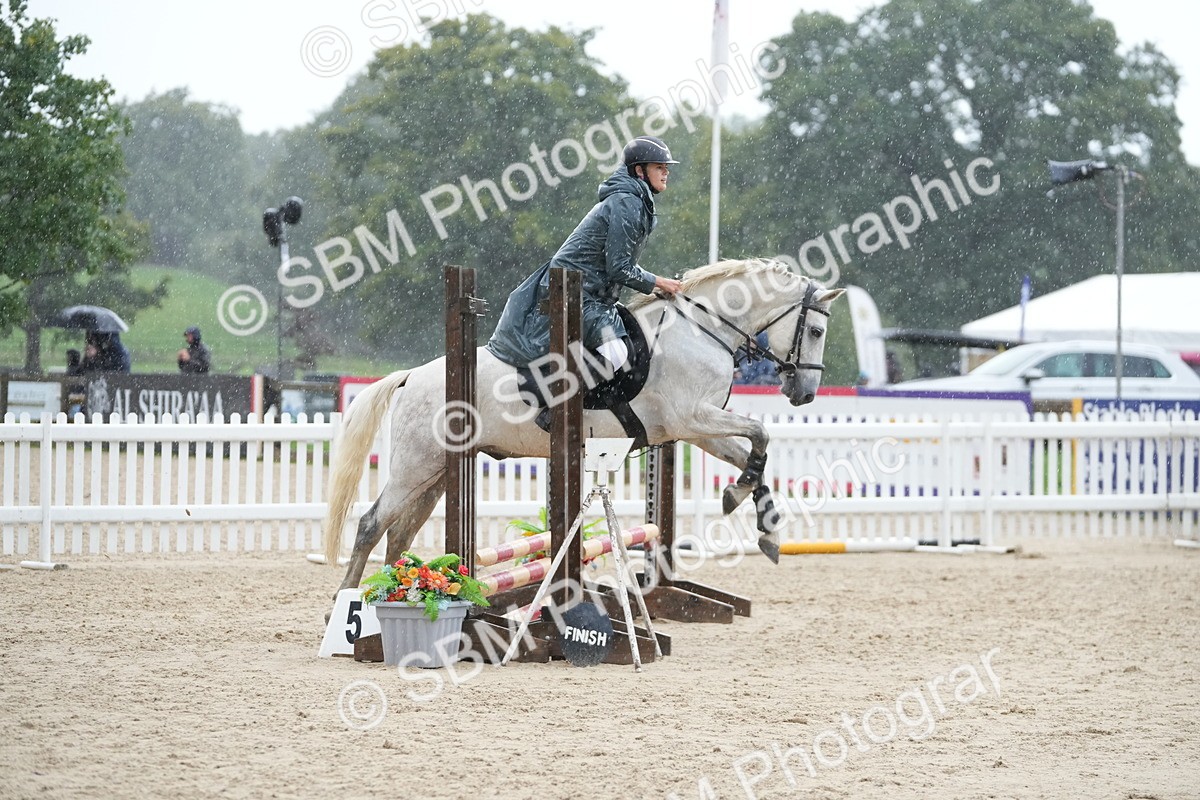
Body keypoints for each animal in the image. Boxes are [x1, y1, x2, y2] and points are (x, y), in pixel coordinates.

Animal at [323, 258, 845, 594]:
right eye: (817, 330)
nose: (804, 393)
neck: (702, 329)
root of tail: (412, 376)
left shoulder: (696, 429)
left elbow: (756, 453)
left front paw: (761, 524)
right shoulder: (693, 417)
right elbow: (761, 433)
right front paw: (743, 501)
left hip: (435, 475)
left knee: (400, 534)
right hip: (416, 466)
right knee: (372, 525)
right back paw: (345, 603)